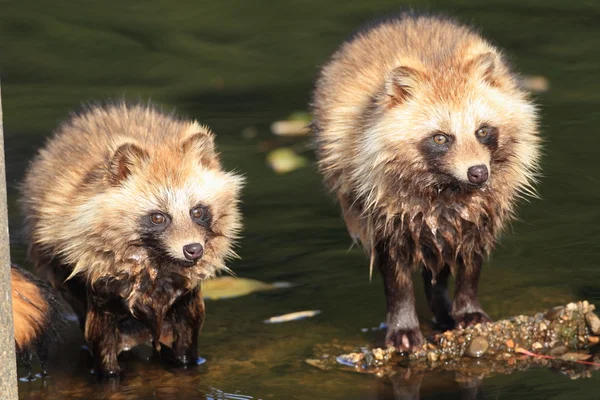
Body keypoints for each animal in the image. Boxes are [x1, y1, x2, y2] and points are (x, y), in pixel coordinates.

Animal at [312, 14, 540, 354]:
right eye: (441, 138)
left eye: (483, 131)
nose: (478, 173)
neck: (446, 187)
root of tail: (407, 17)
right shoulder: (380, 206)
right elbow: (395, 273)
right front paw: (403, 321)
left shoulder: (484, 206)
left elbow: (471, 258)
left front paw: (467, 305)